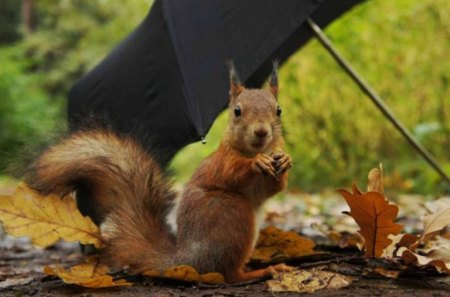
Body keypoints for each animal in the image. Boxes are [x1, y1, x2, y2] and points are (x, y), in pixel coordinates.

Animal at [29, 61, 296, 280]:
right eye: (237, 111)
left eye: (279, 110)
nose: (261, 132)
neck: (251, 150)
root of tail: (187, 260)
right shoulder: (221, 163)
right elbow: (232, 173)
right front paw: (256, 163)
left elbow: (274, 188)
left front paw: (285, 160)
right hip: (232, 215)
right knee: (228, 274)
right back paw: (261, 271)